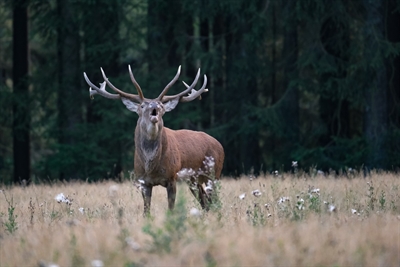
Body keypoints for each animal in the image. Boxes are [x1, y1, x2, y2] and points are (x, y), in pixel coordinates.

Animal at [83, 66, 225, 216]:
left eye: (161, 105)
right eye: (142, 106)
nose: (154, 106)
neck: (151, 166)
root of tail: (219, 144)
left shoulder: (172, 177)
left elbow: (171, 209)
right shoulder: (143, 181)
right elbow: (146, 211)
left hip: (214, 173)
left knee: (214, 200)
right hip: (193, 179)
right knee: (205, 201)